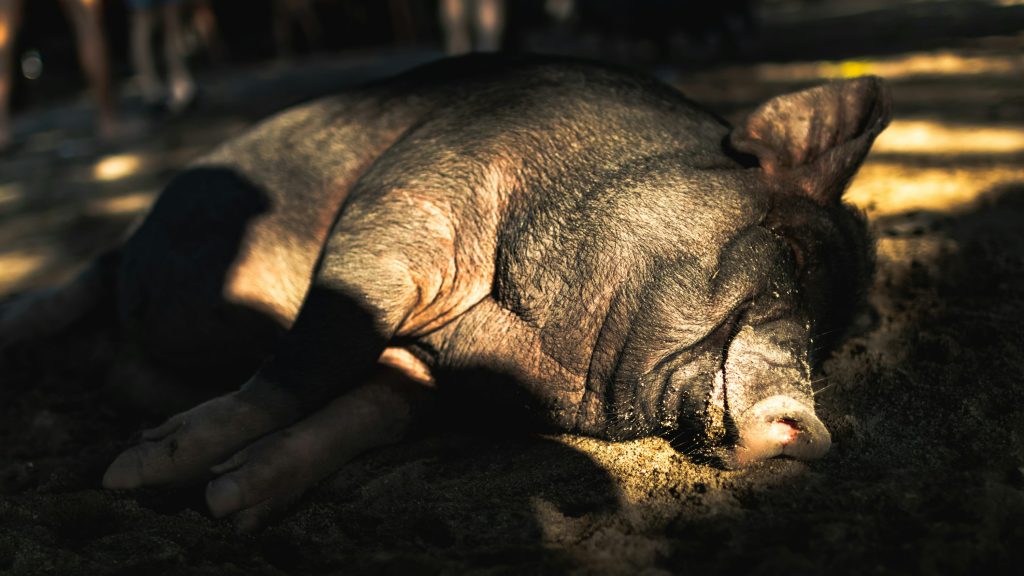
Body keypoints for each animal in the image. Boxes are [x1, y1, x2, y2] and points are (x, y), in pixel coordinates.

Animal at [0, 54, 890, 530]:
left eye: (827, 343)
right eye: (790, 250)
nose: (813, 429)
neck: (542, 350)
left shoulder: (433, 376)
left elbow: (367, 410)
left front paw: (231, 499)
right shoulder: (408, 207)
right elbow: (316, 358)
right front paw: (137, 473)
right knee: (91, 272)